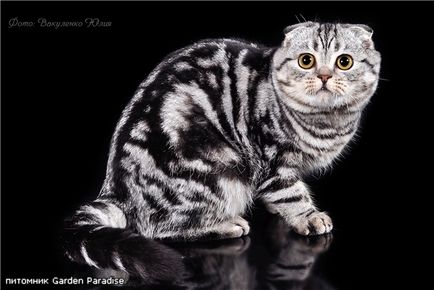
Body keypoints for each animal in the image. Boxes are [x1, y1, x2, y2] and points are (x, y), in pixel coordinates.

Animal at [63, 22, 380, 276]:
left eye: (344, 62)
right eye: (306, 61)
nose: (324, 76)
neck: (325, 121)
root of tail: (115, 189)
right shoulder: (272, 162)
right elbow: (292, 195)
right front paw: (309, 217)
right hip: (218, 174)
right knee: (159, 228)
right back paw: (227, 224)